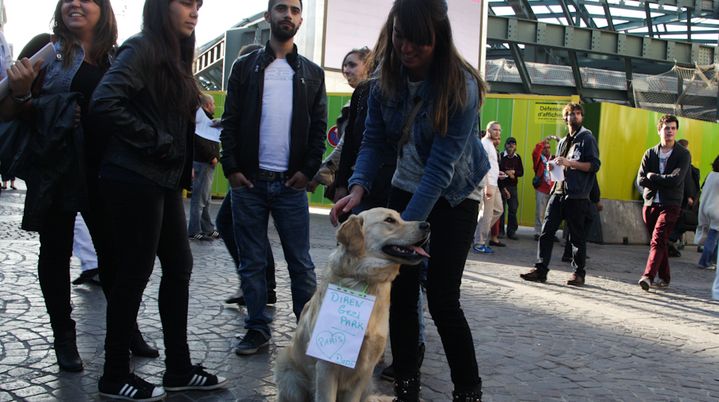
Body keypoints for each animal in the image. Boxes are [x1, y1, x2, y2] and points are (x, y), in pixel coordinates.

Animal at [278, 207, 430, 402]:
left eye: (401, 217)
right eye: (389, 220)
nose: (427, 225)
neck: (364, 280)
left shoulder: (364, 371)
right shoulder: (326, 366)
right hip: (291, 378)